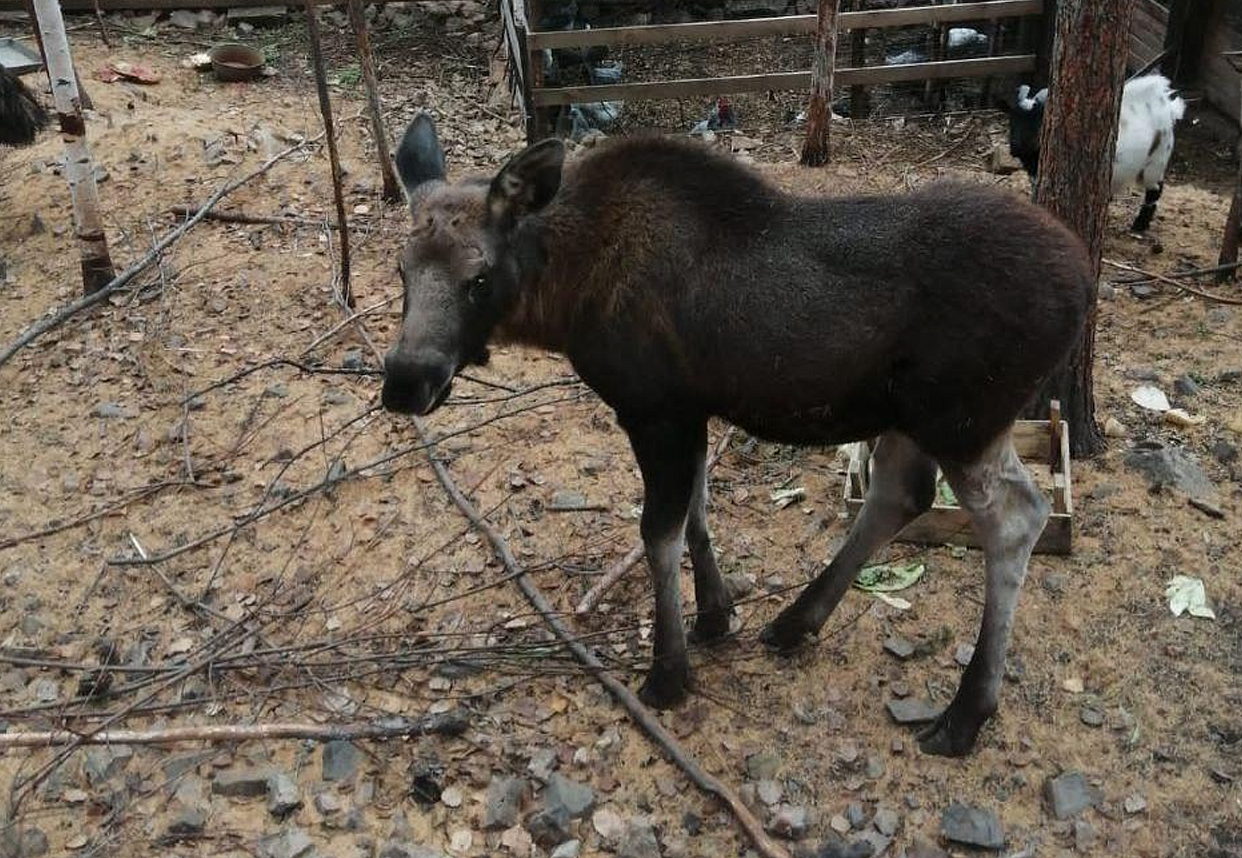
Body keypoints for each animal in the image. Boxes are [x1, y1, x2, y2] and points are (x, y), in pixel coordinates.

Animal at [382, 116, 1092, 759]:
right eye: (400, 270)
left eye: (478, 278)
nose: (405, 382)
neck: (563, 297)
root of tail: (1085, 285)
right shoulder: (691, 409)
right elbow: (698, 510)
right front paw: (715, 615)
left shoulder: (654, 408)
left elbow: (658, 532)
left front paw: (668, 672)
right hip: (914, 417)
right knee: (902, 494)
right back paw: (797, 621)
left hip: (963, 418)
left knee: (1016, 516)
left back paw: (966, 712)